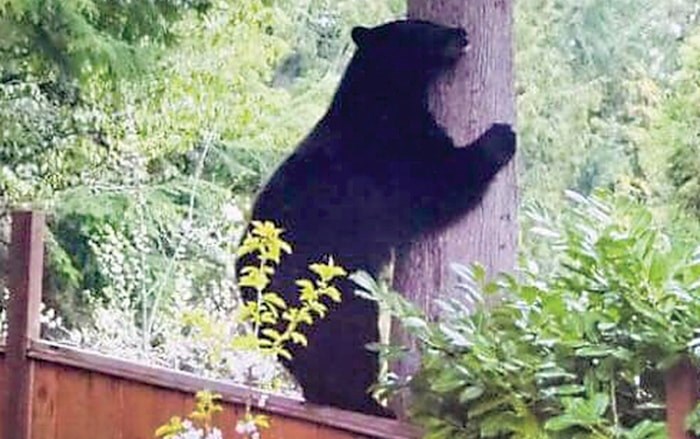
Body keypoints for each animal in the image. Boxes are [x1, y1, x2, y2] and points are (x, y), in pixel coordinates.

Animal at [238, 20, 516, 418]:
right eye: (428, 25)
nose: (461, 32)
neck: (381, 93)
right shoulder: (390, 149)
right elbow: (440, 183)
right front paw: (500, 137)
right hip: (326, 292)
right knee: (350, 344)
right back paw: (368, 403)